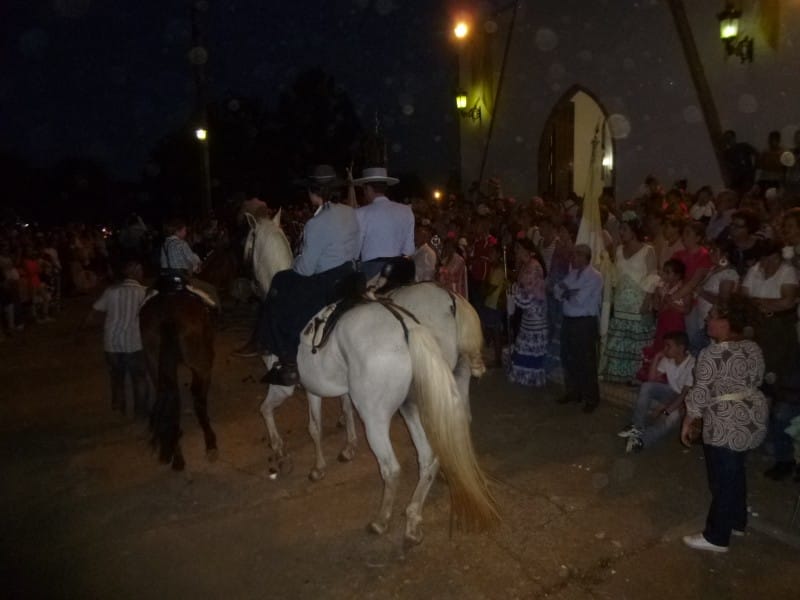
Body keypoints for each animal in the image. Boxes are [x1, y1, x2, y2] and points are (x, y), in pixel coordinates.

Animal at [140, 288, 216, 472]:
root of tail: (168, 315)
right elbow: (198, 396)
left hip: (155, 363)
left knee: (171, 400)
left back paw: (177, 456)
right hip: (202, 361)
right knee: (198, 400)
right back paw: (210, 445)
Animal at [245, 212, 494, 544]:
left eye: (247, 241)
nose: (250, 285)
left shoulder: (298, 385)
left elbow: (294, 420)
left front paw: (289, 455)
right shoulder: (340, 386)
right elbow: (343, 410)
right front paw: (347, 447)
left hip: (383, 415)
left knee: (392, 467)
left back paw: (382, 520)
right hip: (437, 392)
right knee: (443, 439)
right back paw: (415, 514)